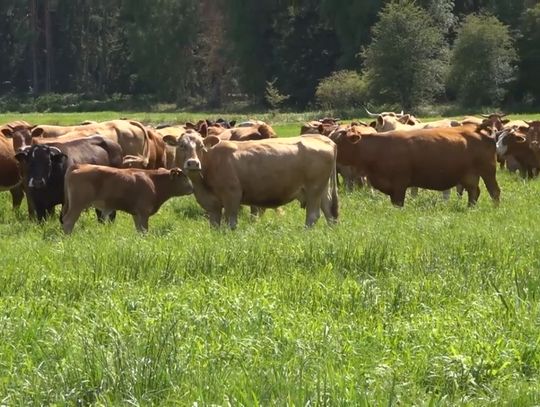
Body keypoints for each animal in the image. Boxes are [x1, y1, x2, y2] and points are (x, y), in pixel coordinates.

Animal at [62, 166, 193, 234]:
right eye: (185, 178)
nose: (192, 188)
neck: (154, 182)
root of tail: (79, 166)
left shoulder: (136, 214)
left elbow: (139, 230)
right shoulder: (144, 212)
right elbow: (144, 230)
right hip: (77, 205)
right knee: (68, 221)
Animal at [163, 134, 338, 230]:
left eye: (201, 146)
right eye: (181, 145)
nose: (193, 163)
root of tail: (325, 140)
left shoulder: (232, 195)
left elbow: (231, 222)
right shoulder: (212, 205)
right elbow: (215, 225)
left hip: (314, 190)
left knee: (313, 216)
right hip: (322, 191)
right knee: (329, 212)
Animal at [332, 123, 500, 207]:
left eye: (337, 140)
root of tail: (478, 130)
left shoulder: (399, 184)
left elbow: (399, 203)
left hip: (488, 171)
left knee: (494, 191)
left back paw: (495, 208)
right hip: (469, 175)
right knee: (474, 192)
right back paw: (470, 208)